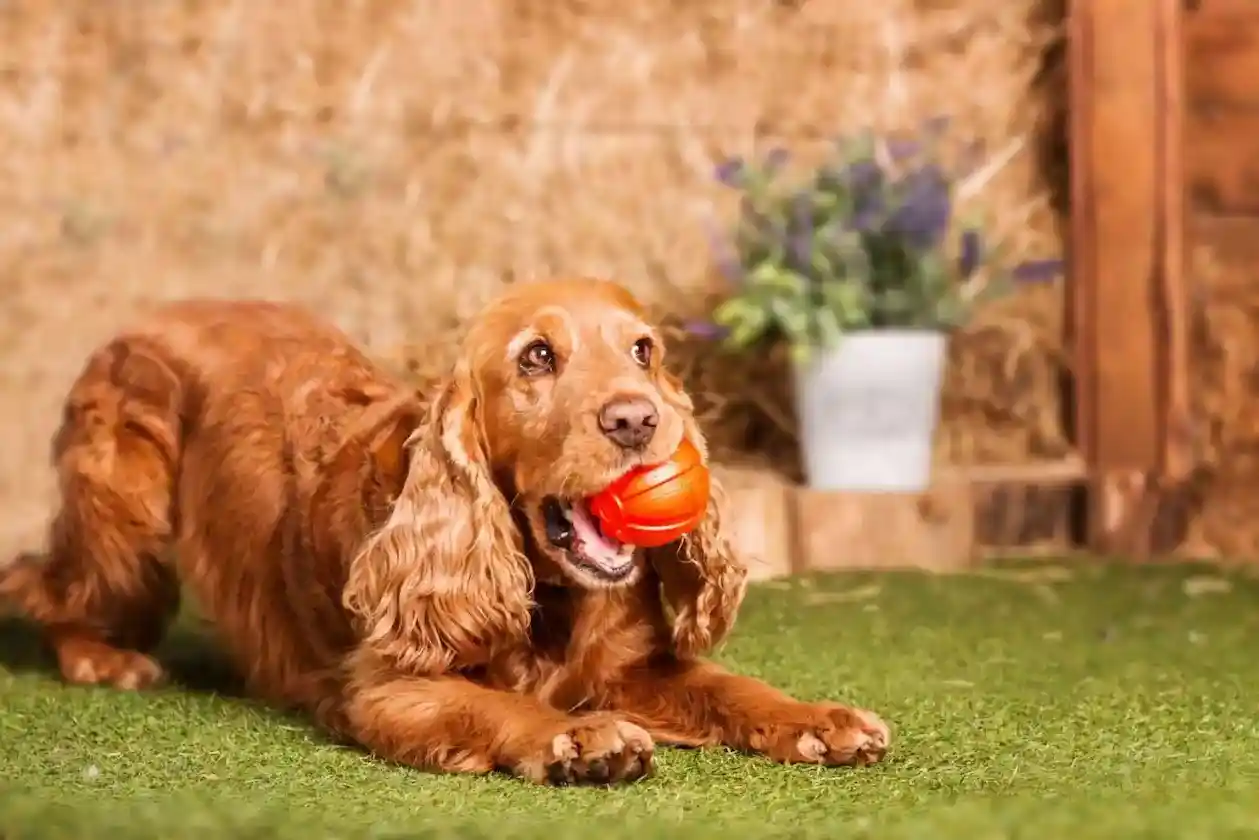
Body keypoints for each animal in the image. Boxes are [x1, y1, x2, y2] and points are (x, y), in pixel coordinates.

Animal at [0, 279, 891, 785]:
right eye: (536, 357)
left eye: (644, 350)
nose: (639, 421)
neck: (549, 601)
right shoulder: (388, 689)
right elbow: (493, 707)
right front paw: (576, 738)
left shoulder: (632, 667)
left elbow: (731, 688)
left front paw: (819, 720)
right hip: (126, 527)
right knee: (40, 582)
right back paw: (102, 659)